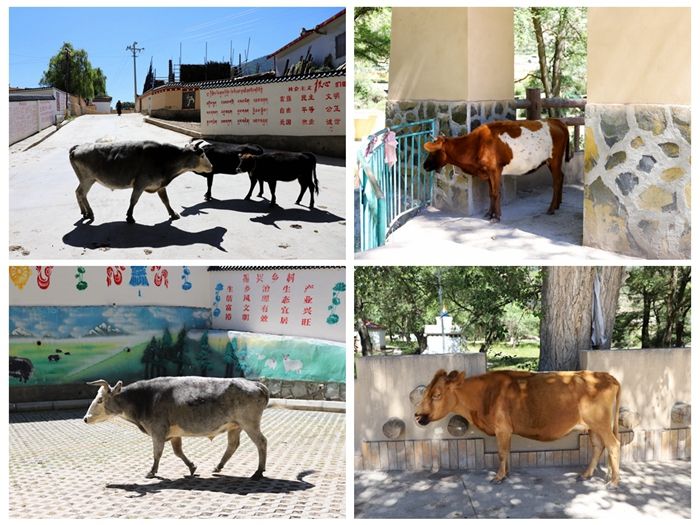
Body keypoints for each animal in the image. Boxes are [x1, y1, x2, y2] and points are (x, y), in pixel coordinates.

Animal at [71, 139, 215, 223]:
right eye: (202, 155)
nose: (212, 166)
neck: (164, 158)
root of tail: (78, 147)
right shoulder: (140, 184)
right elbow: (133, 200)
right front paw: (129, 217)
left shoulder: (159, 185)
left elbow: (166, 200)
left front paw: (173, 214)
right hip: (87, 179)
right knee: (81, 193)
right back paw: (89, 213)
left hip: (87, 180)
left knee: (78, 192)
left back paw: (85, 212)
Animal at [82, 376, 268, 478]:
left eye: (100, 400)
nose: (85, 418)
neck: (145, 397)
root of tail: (255, 384)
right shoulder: (174, 434)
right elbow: (178, 452)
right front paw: (192, 467)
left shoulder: (157, 431)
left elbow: (157, 453)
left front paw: (152, 472)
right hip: (235, 426)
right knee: (233, 445)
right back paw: (218, 466)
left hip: (250, 424)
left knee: (261, 443)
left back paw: (258, 472)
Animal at [412, 368, 620, 488]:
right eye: (426, 391)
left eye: (437, 395)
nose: (417, 414)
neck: (484, 395)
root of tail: (607, 376)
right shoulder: (507, 431)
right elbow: (507, 451)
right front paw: (507, 473)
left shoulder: (502, 429)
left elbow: (501, 453)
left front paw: (498, 477)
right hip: (593, 427)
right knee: (598, 446)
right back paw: (586, 474)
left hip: (601, 424)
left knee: (614, 445)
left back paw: (613, 482)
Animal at [422, 118, 568, 221]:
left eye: (433, 152)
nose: (424, 165)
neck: (476, 145)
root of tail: (553, 120)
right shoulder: (487, 173)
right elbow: (490, 193)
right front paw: (489, 213)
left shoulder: (495, 170)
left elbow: (496, 193)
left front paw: (496, 217)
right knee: (561, 176)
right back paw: (558, 204)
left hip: (554, 160)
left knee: (556, 181)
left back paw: (551, 209)